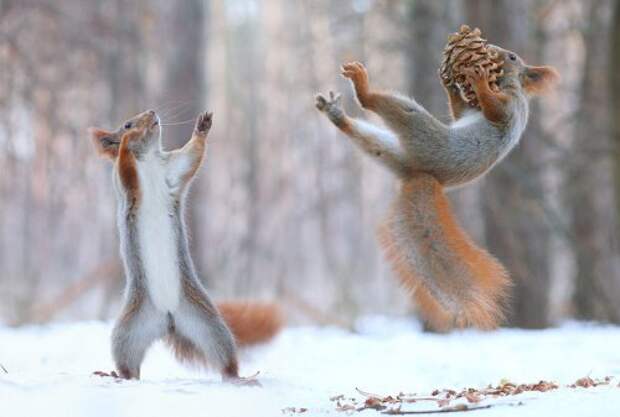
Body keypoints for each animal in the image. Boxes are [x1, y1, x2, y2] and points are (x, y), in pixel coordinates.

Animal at [88, 110, 282, 380]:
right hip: (128, 331)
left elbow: (192, 156)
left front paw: (202, 127)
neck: (148, 159)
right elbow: (126, 167)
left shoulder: (173, 170)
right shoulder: (125, 183)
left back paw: (240, 378)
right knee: (129, 366)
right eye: (126, 124)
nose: (152, 113)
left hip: (208, 324)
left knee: (224, 358)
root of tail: (168, 319)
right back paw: (117, 375)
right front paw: (127, 141)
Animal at [318, 46, 560, 332]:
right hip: (390, 151)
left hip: (422, 131)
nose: (494, 50)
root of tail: (421, 174)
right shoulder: (471, 111)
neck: (506, 85)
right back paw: (336, 114)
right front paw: (451, 85)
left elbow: (495, 111)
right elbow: (459, 112)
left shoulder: (511, 107)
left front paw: (478, 81)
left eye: (512, 57)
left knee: (380, 105)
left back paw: (362, 87)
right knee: (368, 140)